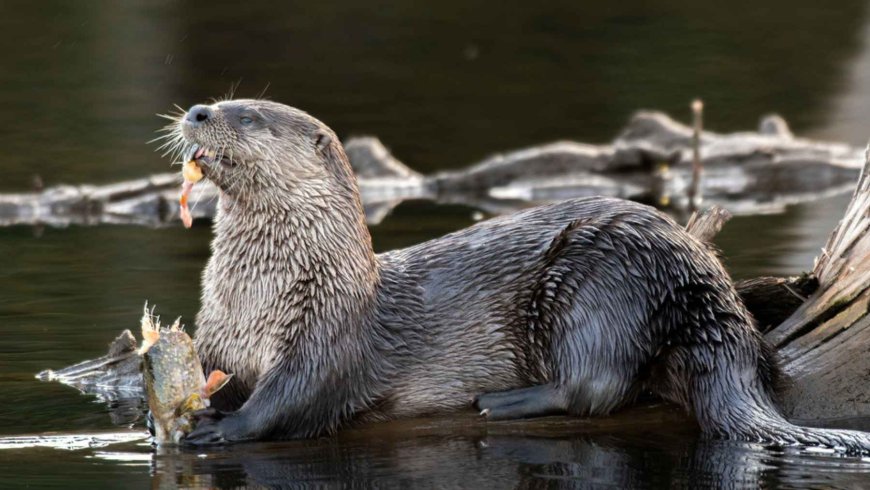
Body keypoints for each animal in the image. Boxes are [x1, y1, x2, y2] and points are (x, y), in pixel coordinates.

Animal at [173, 99, 870, 453]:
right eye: (219, 101)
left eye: (249, 115)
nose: (200, 110)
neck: (265, 292)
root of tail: (702, 279)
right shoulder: (222, 343)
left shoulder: (327, 335)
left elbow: (291, 400)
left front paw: (221, 429)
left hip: (599, 283)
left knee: (599, 384)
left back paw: (504, 400)